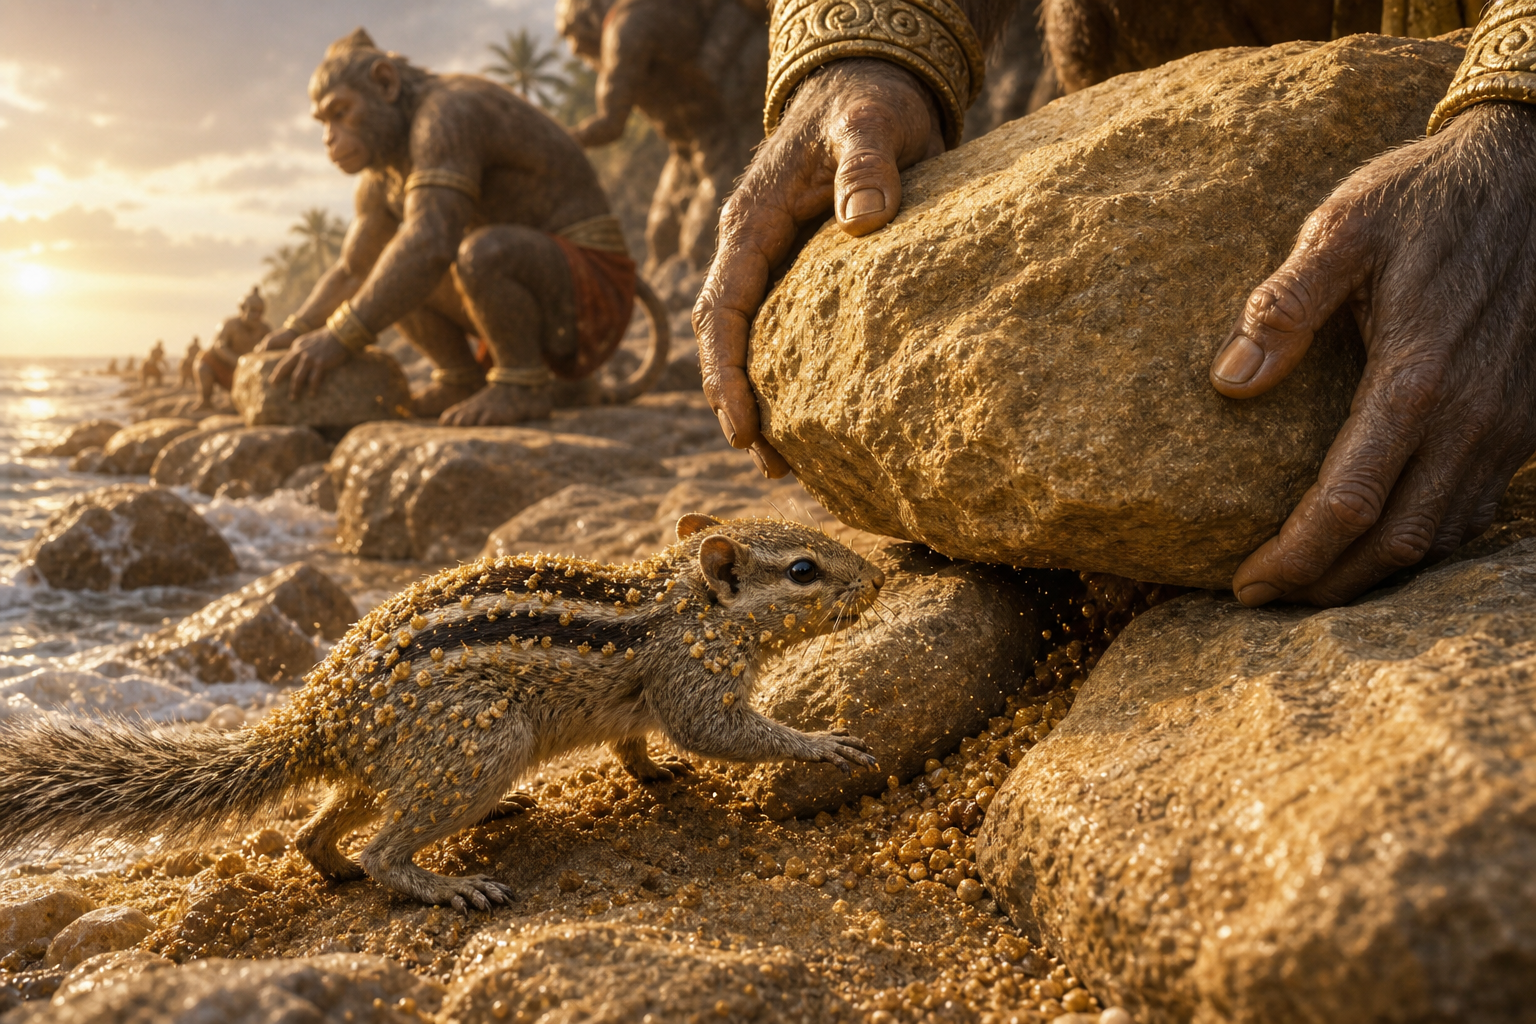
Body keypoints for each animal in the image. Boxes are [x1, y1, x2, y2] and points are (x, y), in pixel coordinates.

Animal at [0, 515, 884, 911]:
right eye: (804, 569)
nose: (877, 579)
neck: (680, 605)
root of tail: (312, 718)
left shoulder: (646, 699)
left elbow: (635, 744)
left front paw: (654, 772)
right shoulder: (691, 679)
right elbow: (722, 733)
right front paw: (821, 742)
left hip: (392, 766)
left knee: (315, 829)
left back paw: (340, 863)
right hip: (480, 741)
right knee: (387, 847)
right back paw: (445, 884)